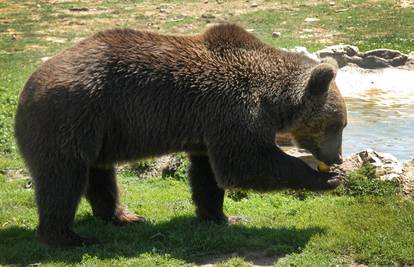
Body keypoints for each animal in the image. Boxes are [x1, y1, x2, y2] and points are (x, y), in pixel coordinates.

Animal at [14, 24, 346, 247]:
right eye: (338, 125)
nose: (338, 157)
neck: (272, 98)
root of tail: (29, 85)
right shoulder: (235, 109)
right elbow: (246, 162)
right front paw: (326, 179)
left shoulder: (209, 127)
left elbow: (208, 174)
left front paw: (221, 216)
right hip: (70, 116)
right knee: (62, 179)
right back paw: (70, 236)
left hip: (98, 129)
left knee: (99, 174)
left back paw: (124, 216)